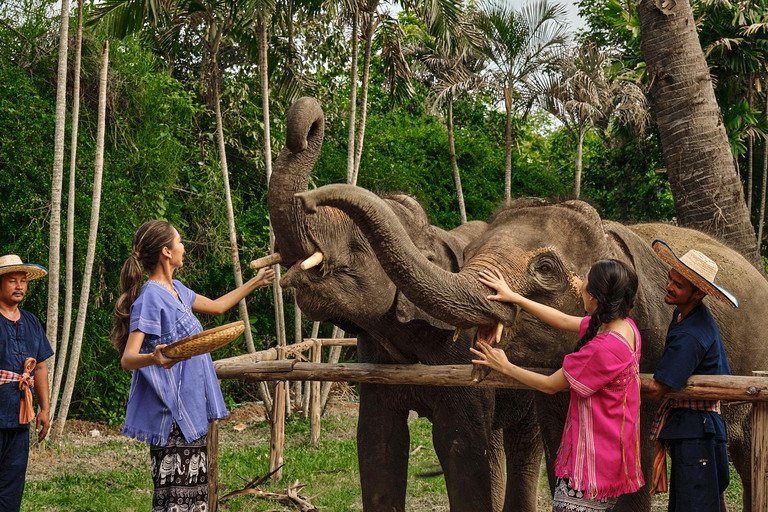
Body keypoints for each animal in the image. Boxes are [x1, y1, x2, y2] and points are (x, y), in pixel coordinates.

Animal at [268, 97, 544, 512]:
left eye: (361, 242)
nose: (305, 127)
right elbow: (377, 442)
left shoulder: (465, 352)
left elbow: (461, 445)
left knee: (524, 441)